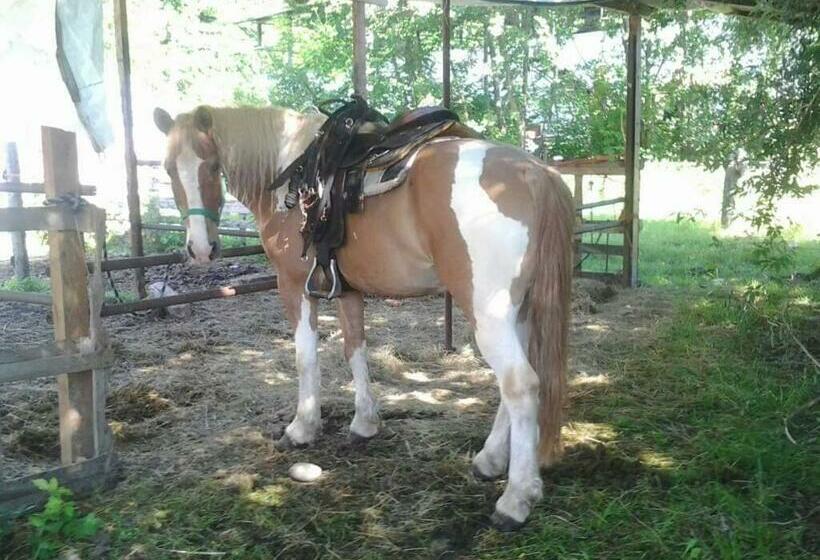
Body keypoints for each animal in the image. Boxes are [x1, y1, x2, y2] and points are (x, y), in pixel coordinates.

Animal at [152, 103, 574, 529]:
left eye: (210, 166)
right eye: (169, 168)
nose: (200, 249)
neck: (292, 173)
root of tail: (535, 174)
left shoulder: (294, 286)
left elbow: (306, 359)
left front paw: (302, 428)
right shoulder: (347, 289)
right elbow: (356, 350)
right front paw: (364, 424)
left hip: (488, 315)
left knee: (521, 386)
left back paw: (515, 500)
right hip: (516, 313)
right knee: (515, 384)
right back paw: (489, 461)